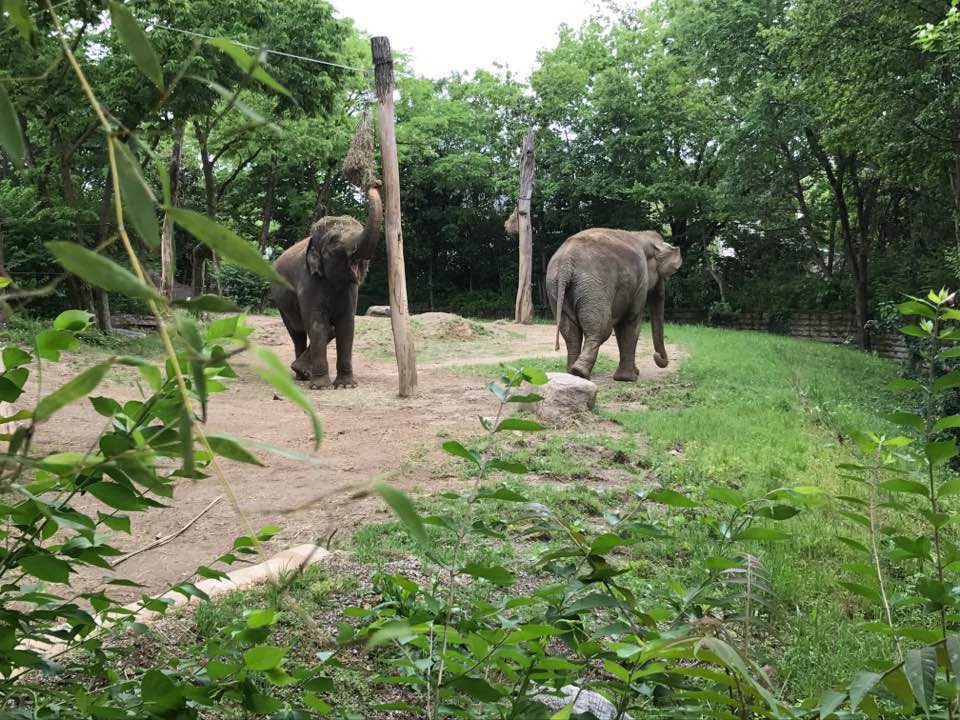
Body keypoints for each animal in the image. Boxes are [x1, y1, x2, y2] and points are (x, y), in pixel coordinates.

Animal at [270, 183, 382, 389]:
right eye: (334, 241)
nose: (375, 183)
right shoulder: (308, 283)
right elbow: (317, 323)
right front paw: (321, 386)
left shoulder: (350, 290)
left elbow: (346, 324)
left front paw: (346, 385)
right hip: (280, 301)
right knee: (297, 332)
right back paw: (301, 374)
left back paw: (302, 373)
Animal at [546, 229, 682, 381]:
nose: (657, 355)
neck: (642, 236)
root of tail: (566, 263)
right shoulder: (640, 280)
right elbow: (631, 320)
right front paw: (629, 379)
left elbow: (620, 327)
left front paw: (631, 374)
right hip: (594, 287)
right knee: (602, 330)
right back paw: (579, 372)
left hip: (555, 287)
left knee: (570, 334)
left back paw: (573, 374)